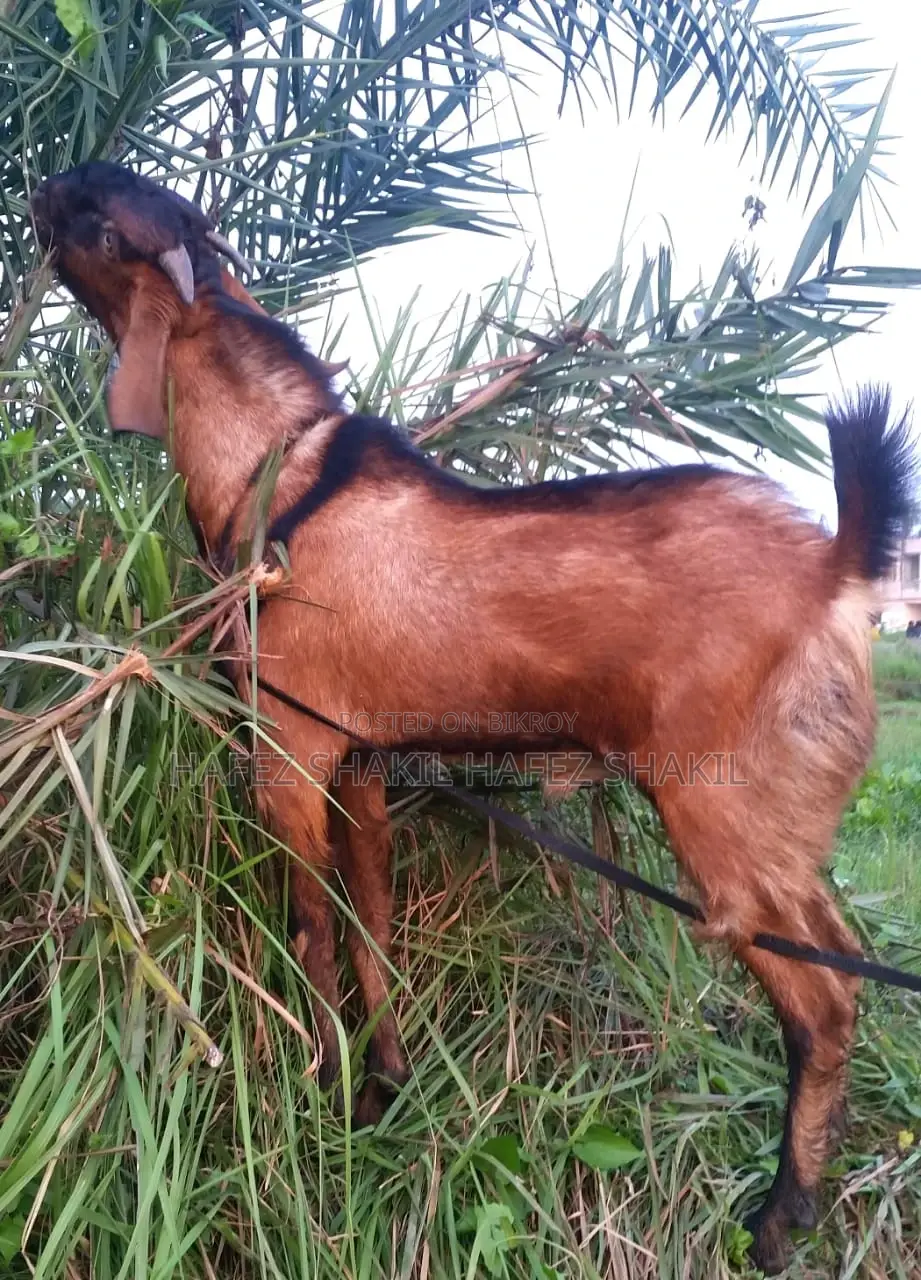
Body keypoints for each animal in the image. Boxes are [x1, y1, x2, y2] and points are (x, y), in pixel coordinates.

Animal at [30, 160, 916, 1276]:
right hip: (783, 831)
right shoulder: (360, 760)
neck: (277, 469)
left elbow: (313, 926)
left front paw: (325, 1104)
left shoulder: (291, 748)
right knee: (845, 961)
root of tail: (839, 571)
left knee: (822, 1003)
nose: (35, 188)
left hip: (723, 825)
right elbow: (372, 922)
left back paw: (780, 1217)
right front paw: (386, 1085)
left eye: (98, 217)